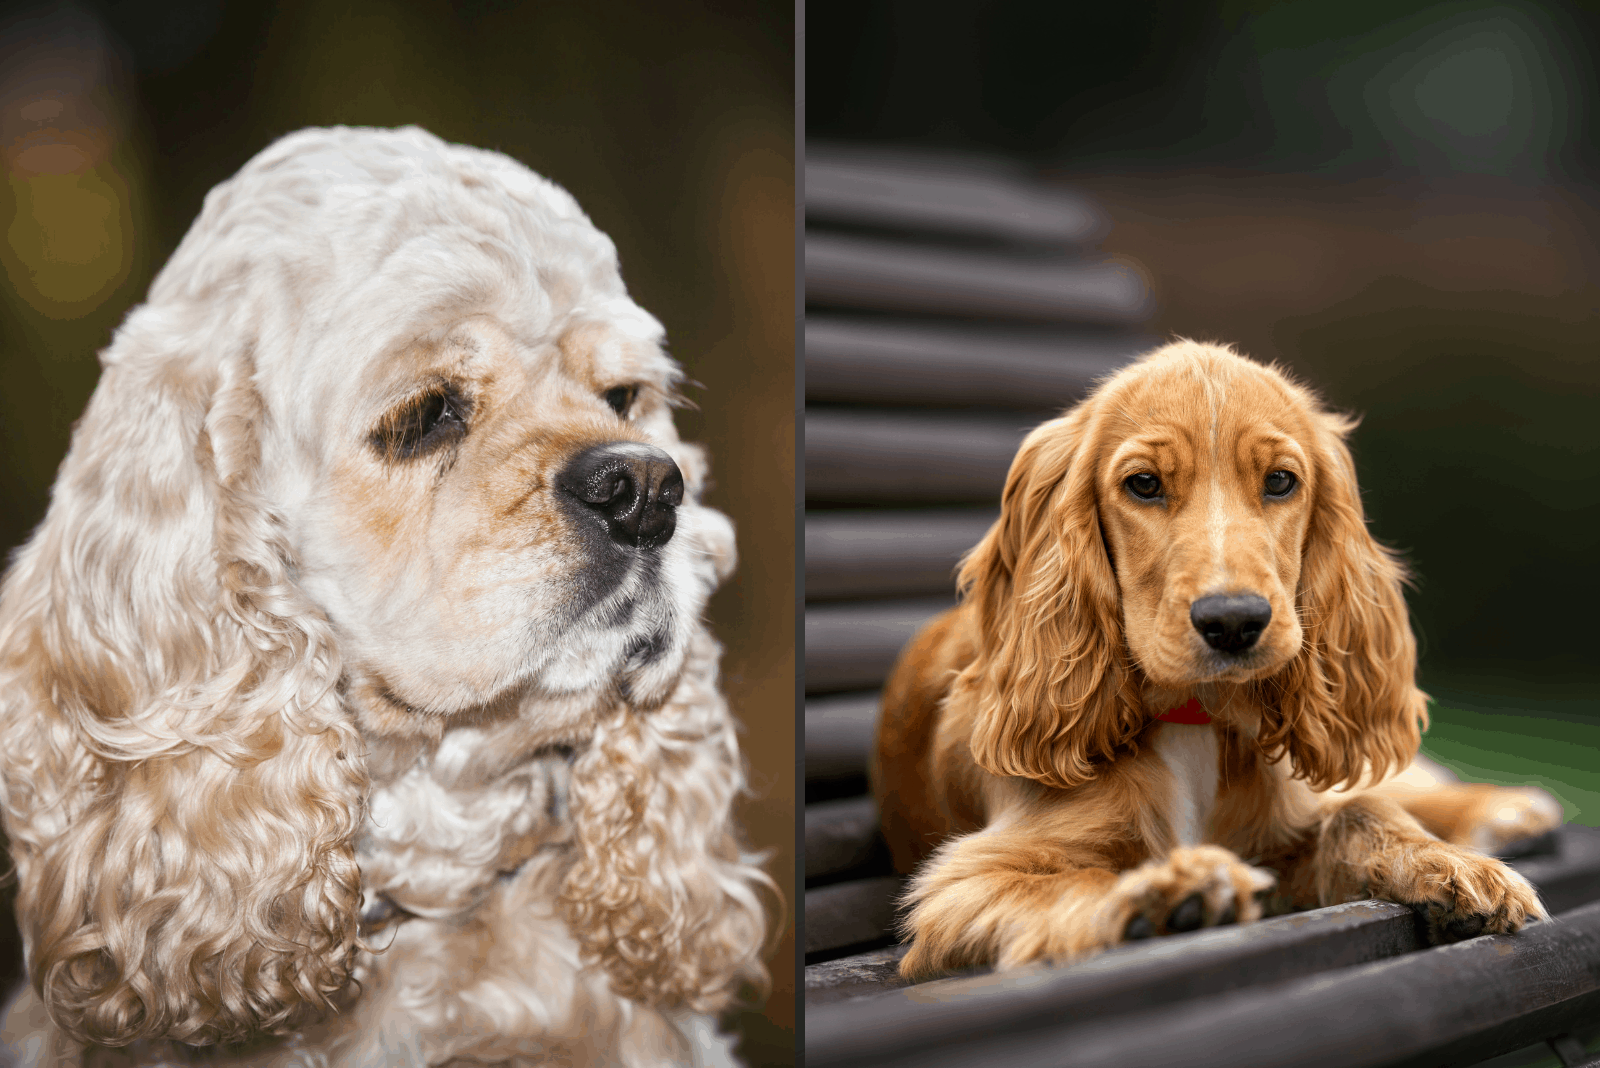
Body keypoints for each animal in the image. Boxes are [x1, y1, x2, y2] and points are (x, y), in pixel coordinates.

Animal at [876, 340, 1561, 978]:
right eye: (1144, 484)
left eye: (1280, 480)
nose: (1233, 622)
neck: (1194, 719)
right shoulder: (967, 883)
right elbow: (1070, 882)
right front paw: (1162, 895)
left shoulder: (1288, 828)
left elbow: (1360, 810)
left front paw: (1452, 865)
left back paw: (1502, 810)